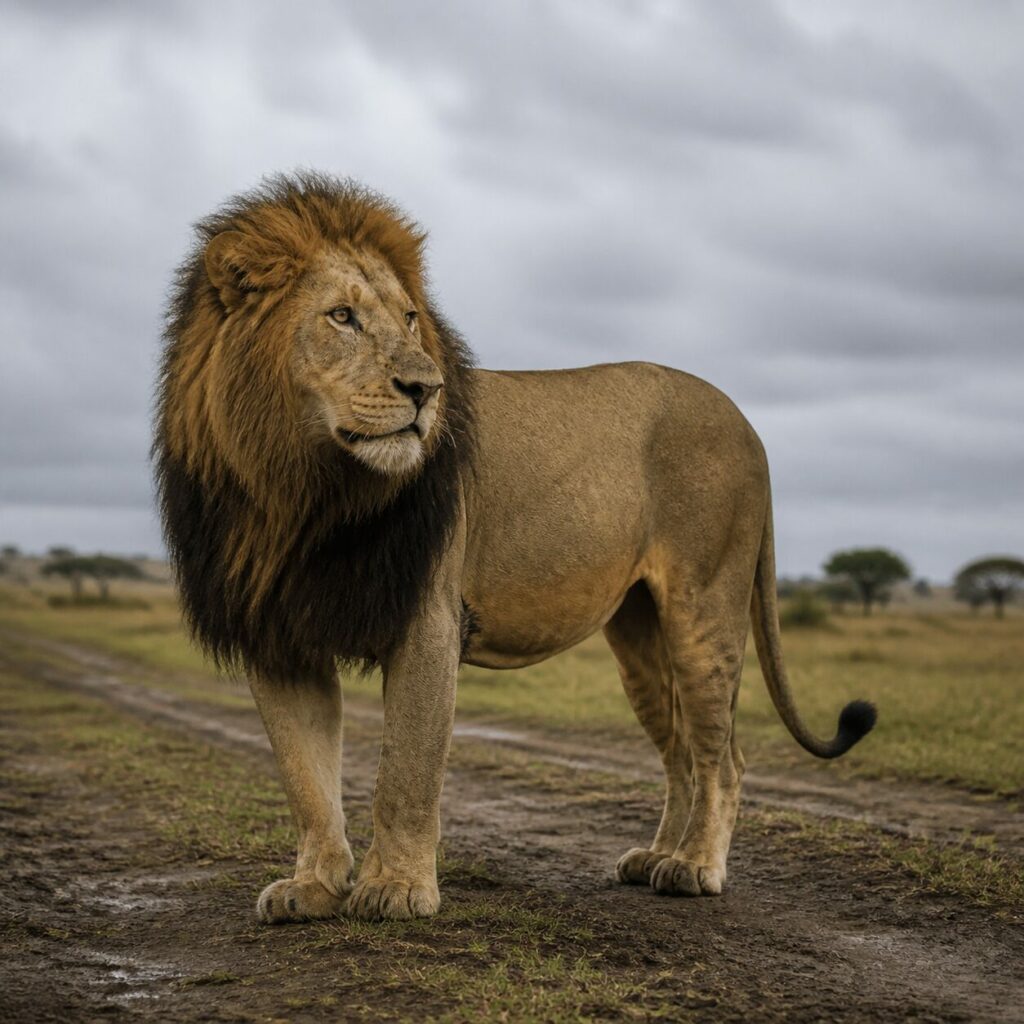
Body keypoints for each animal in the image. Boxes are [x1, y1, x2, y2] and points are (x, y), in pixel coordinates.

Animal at [155, 173, 875, 923]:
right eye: (342, 317)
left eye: (409, 319)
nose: (426, 388)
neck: (297, 490)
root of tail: (746, 422)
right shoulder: (278, 633)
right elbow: (306, 777)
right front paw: (316, 886)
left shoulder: (429, 618)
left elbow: (405, 772)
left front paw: (397, 888)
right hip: (639, 635)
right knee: (679, 751)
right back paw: (654, 857)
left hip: (704, 605)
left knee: (720, 756)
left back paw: (694, 866)